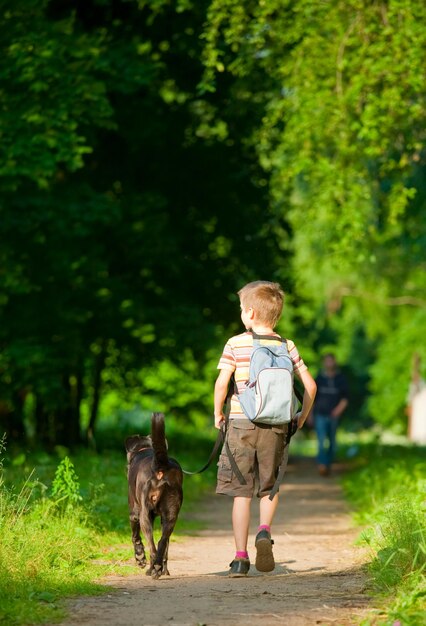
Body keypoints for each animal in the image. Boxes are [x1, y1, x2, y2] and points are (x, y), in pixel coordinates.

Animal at [124, 412, 182, 576]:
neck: (144, 449)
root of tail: (161, 466)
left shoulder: (134, 513)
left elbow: (135, 537)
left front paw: (140, 558)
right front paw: (164, 569)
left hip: (144, 515)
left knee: (152, 545)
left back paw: (152, 568)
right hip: (171, 515)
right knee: (163, 541)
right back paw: (158, 568)